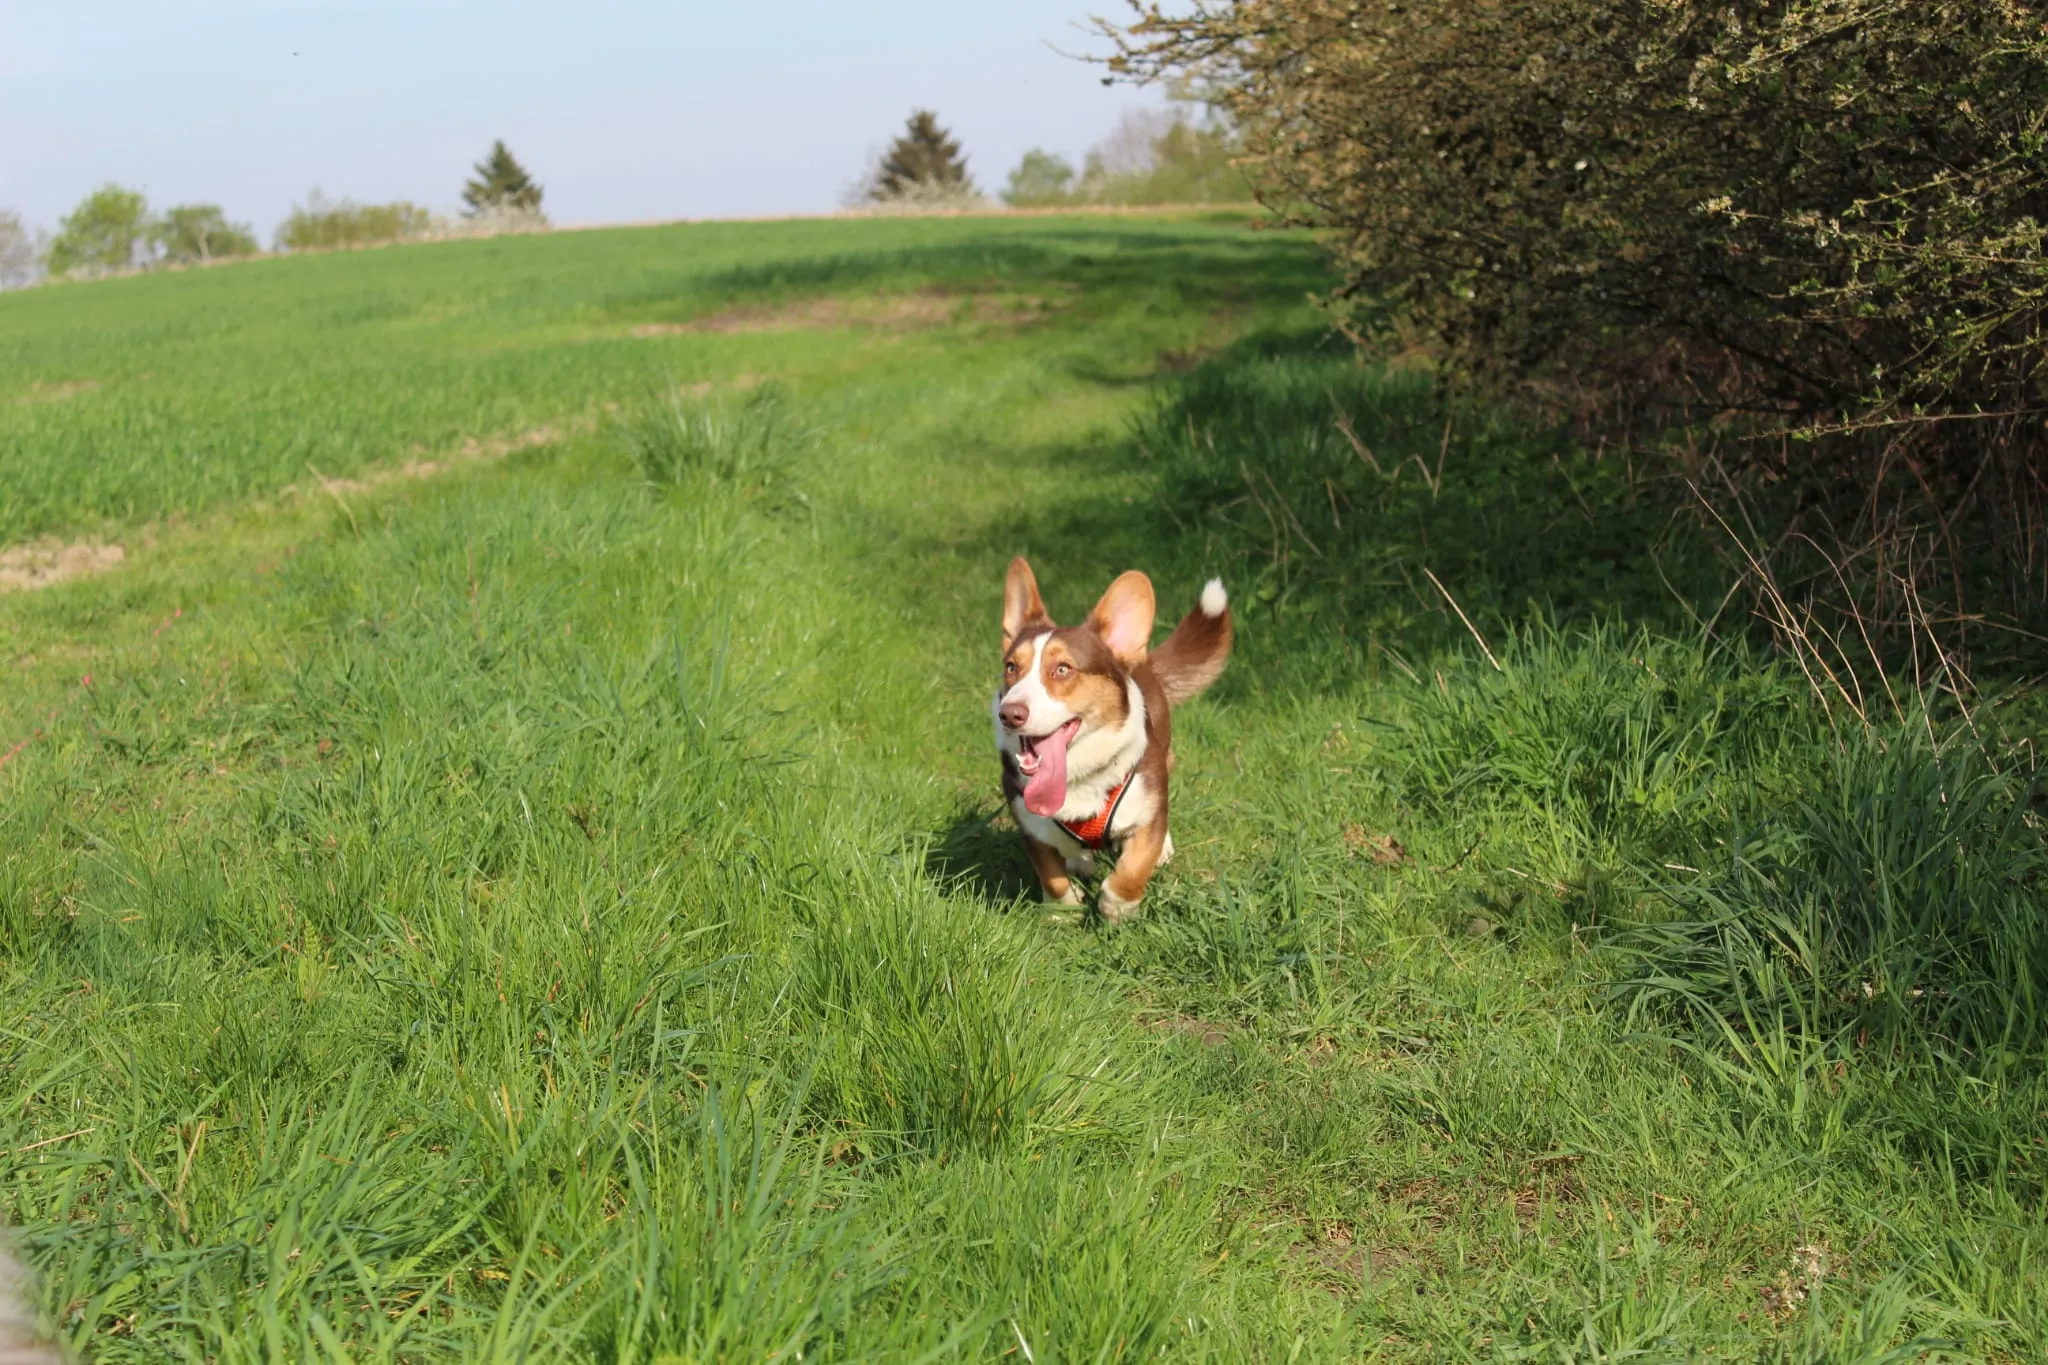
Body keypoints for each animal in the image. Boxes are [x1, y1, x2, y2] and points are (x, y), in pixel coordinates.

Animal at [991, 560, 1228, 925]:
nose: (1009, 713)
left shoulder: (1147, 808)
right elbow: (1051, 874)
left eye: (1063, 669)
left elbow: (1134, 867)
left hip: (1165, 755)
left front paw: (1116, 907)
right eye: (1011, 667)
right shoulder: (1030, 825)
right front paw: (1064, 909)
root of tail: (1142, 660)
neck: (1077, 776)